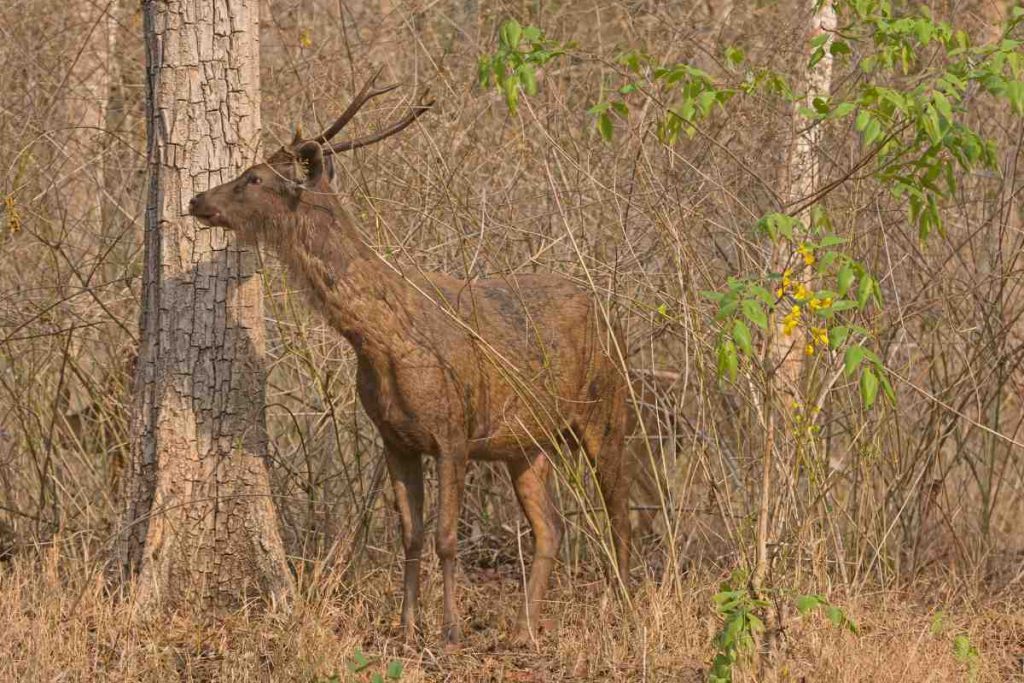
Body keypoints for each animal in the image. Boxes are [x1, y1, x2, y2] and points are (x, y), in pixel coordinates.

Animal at [187, 69, 626, 647]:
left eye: (254, 178)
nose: (196, 199)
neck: (381, 343)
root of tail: (605, 312)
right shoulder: (395, 438)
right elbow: (411, 536)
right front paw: (406, 624)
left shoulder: (454, 432)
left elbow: (445, 538)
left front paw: (450, 629)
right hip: (525, 444)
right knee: (551, 527)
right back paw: (525, 628)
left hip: (607, 407)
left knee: (622, 511)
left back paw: (627, 604)